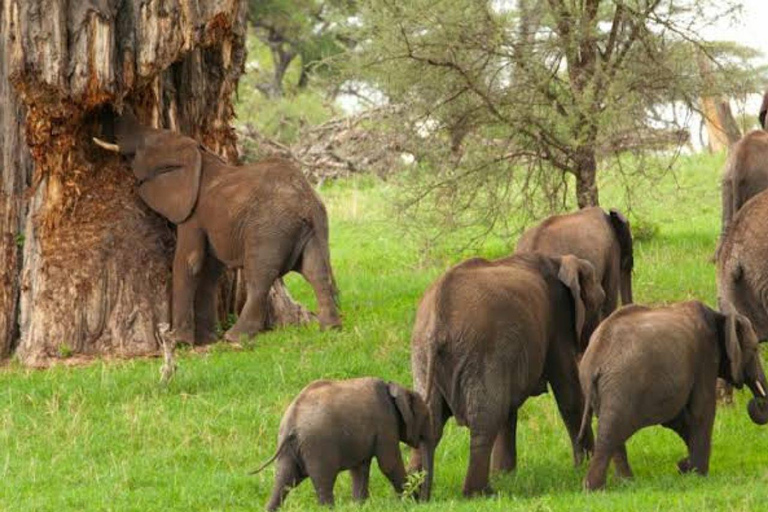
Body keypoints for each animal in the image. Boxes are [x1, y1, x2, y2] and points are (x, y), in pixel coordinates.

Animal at [93, 108, 340, 348]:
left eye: (143, 145)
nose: (112, 111)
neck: (197, 153)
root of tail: (307, 202)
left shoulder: (193, 215)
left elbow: (189, 262)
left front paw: (179, 342)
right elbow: (210, 271)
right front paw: (206, 340)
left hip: (270, 229)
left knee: (259, 277)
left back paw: (235, 339)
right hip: (315, 228)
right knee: (317, 271)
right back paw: (331, 328)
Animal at [252, 378, 432, 510]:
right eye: (425, 418)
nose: (425, 501)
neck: (395, 388)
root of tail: (292, 420)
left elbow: (360, 469)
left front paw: (360, 507)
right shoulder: (386, 423)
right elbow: (389, 464)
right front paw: (412, 502)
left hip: (290, 448)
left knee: (284, 482)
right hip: (318, 445)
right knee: (323, 483)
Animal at [408, 252, 608, 496]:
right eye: (600, 301)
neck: (559, 260)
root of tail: (438, 322)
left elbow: (510, 407)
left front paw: (505, 475)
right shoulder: (557, 319)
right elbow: (568, 394)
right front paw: (584, 466)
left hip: (423, 356)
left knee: (432, 423)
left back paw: (412, 495)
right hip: (481, 350)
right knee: (485, 419)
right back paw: (481, 493)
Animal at [580, 302, 768, 490]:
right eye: (755, 349)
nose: (756, 402)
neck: (720, 316)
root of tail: (595, 358)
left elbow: (678, 418)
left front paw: (684, 466)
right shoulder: (705, 357)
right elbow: (702, 411)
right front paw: (698, 475)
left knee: (612, 432)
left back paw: (626, 482)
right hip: (621, 386)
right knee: (609, 434)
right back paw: (595, 489)